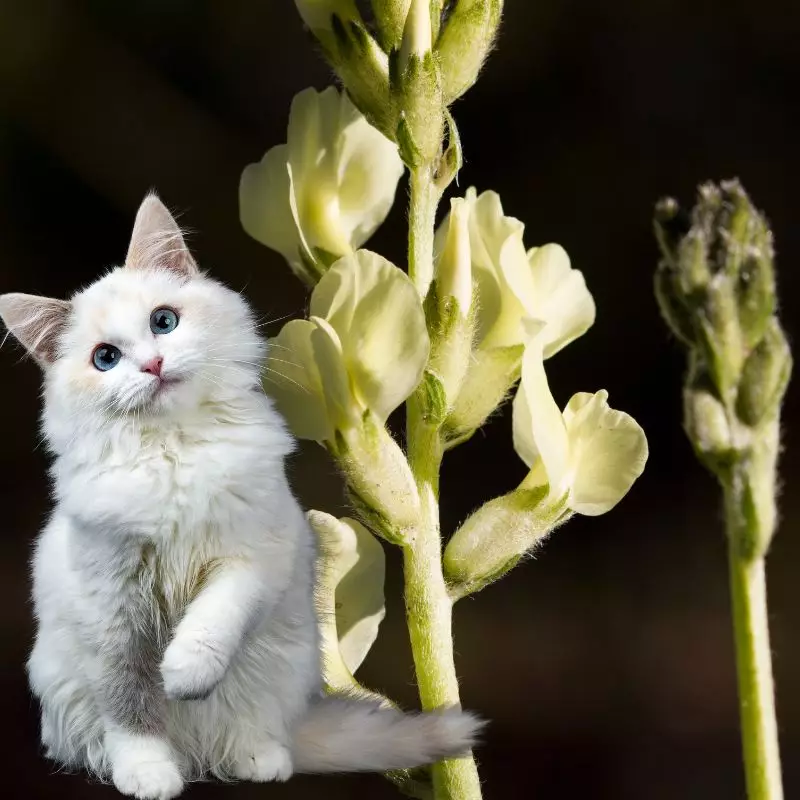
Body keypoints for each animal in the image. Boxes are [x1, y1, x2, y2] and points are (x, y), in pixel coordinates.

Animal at [0, 195, 478, 800]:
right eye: (105, 358)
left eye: (164, 321)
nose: (153, 365)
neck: (175, 451)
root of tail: (198, 754)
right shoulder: (112, 610)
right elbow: (131, 707)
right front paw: (148, 773)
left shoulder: (252, 557)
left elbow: (212, 622)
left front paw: (183, 674)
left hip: (283, 663)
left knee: (256, 728)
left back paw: (258, 759)